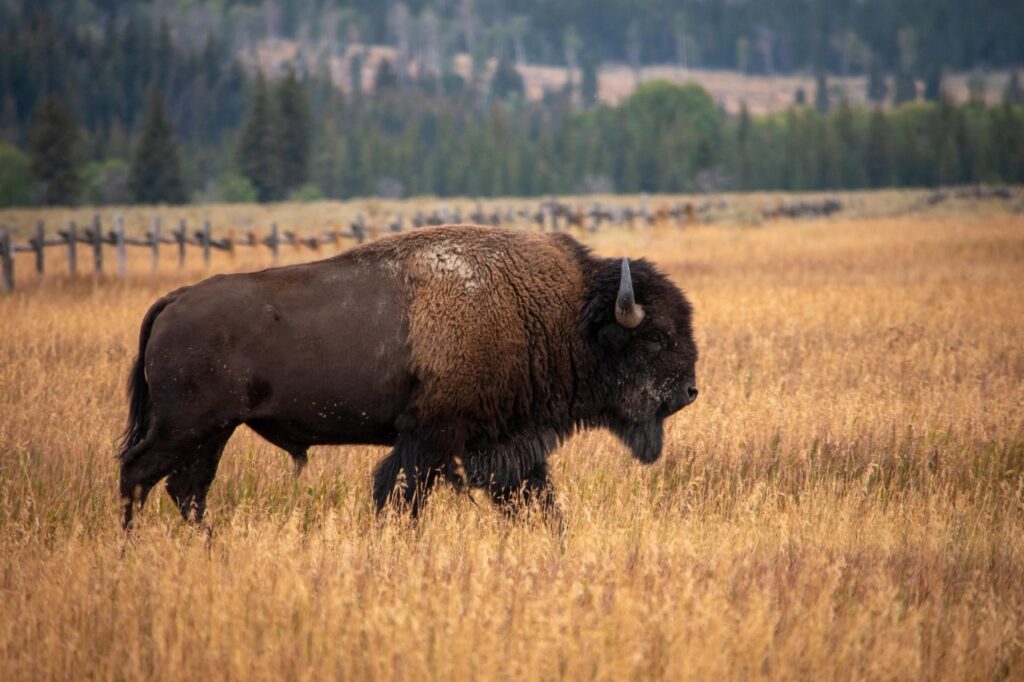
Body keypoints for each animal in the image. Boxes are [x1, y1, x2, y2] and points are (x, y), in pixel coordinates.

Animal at [118, 225, 698, 529]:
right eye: (655, 337)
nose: (690, 391)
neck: (555, 313)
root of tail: (174, 300)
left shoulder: (507, 447)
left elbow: (536, 499)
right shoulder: (432, 438)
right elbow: (400, 495)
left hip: (214, 431)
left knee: (186, 489)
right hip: (186, 426)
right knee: (139, 473)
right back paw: (129, 550)